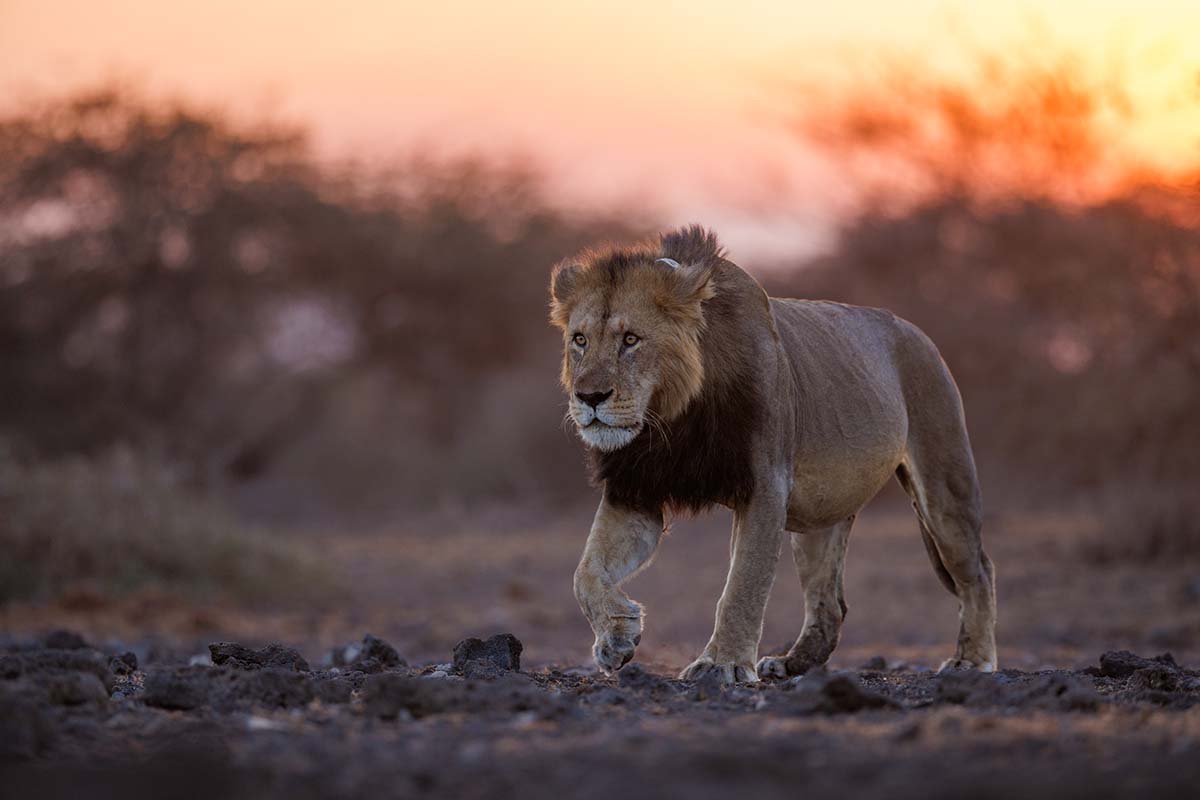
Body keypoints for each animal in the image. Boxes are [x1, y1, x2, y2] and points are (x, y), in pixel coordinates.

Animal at [549, 224, 998, 681]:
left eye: (631, 339)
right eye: (580, 340)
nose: (589, 397)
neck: (673, 419)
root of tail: (919, 333)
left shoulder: (764, 485)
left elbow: (743, 585)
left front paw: (723, 664)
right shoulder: (636, 489)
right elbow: (585, 572)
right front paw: (616, 637)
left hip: (943, 486)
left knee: (978, 571)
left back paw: (971, 660)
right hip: (819, 515)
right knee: (830, 602)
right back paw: (792, 662)